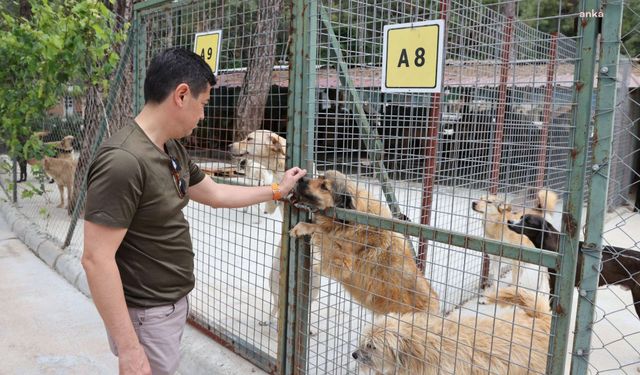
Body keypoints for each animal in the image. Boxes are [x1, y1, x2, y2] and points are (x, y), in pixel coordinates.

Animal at [290, 172, 440, 316]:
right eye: (319, 177)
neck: (351, 220)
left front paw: (303, 227)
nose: (300, 179)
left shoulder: (342, 262)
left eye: (324, 187)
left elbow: (323, 232)